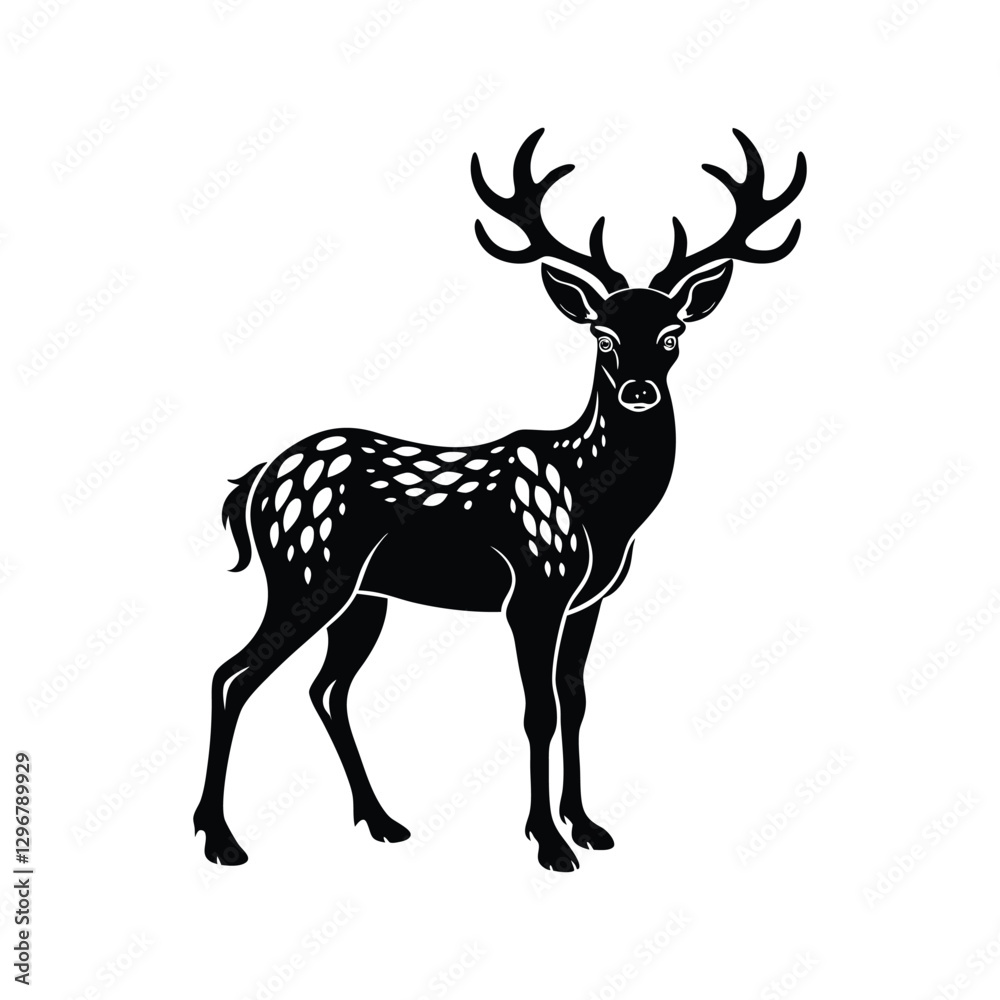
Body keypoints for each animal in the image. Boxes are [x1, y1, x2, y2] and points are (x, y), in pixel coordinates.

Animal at [193, 127, 806, 871]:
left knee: (326, 688)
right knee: (232, 675)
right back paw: (220, 838)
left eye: (671, 336)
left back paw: (382, 820)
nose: (638, 390)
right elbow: (537, 711)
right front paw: (549, 842)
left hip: (362, 596)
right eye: (603, 336)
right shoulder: (534, 589)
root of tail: (256, 481)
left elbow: (575, 702)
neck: (598, 505)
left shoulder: (588, 599)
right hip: (305, 571)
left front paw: (588, 826)